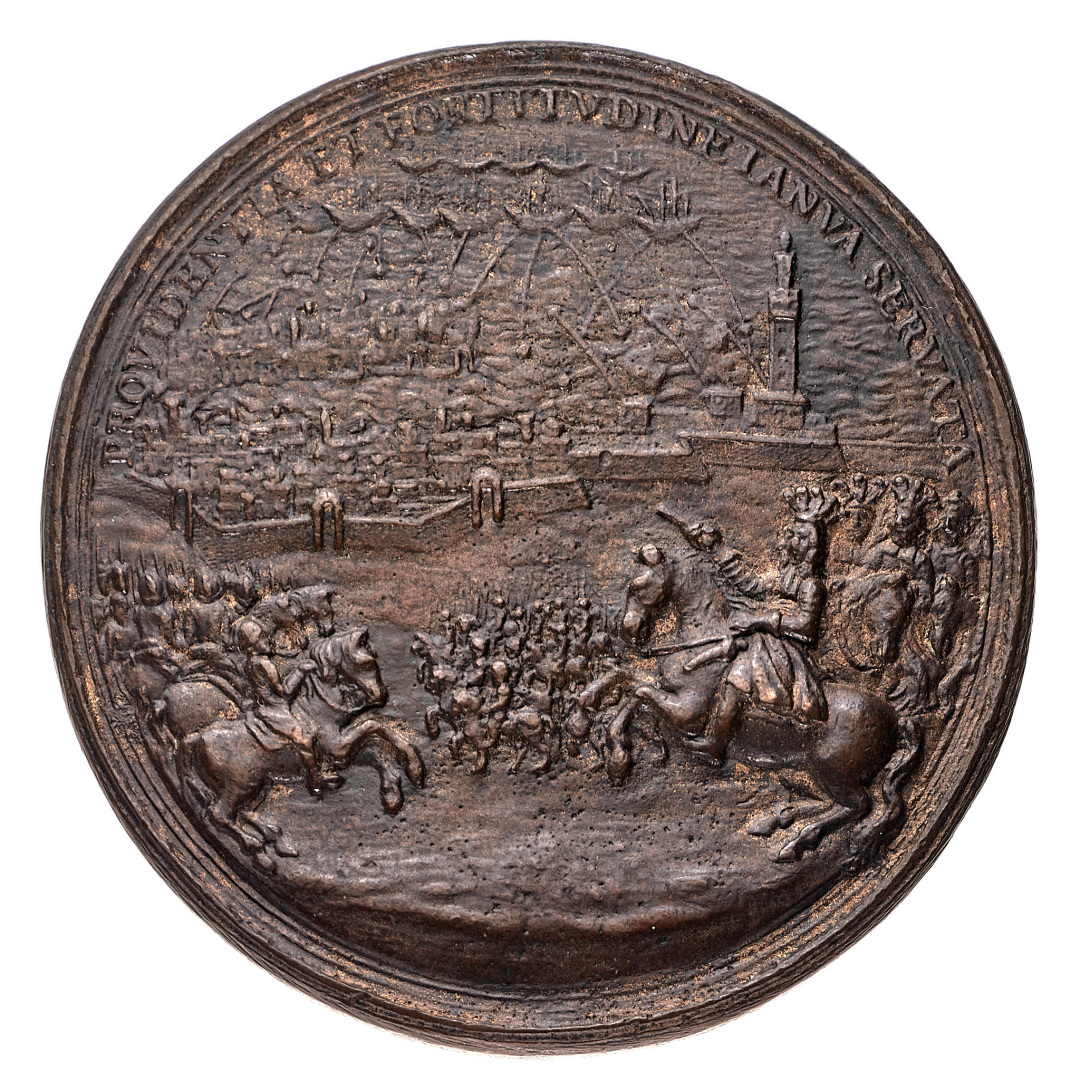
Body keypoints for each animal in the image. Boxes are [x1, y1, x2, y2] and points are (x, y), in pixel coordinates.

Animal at [163, 629, 424, 862]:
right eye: (366, 662)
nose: (380, 695)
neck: (316, 708)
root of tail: (196, 738)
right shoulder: (337, 746)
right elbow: (375, 727)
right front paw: (415, 768)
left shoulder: (340, 752)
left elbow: (375, 750)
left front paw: (393, 792)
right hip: (241, 785)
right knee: (219, 815)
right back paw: (256, 845)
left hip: (260, 783)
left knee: (242, 812)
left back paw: (275, 839)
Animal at [604, 548, 919, 865]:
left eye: (637, 587)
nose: (628, 631)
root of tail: (895, 720)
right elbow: (629, 682)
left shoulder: (689, 712)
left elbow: (641, 692)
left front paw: (618, 760)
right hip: (801, 769)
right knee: (827, 802)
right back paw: (777, 820)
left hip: (835, 772)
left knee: (859, 806)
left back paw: (795, 841)